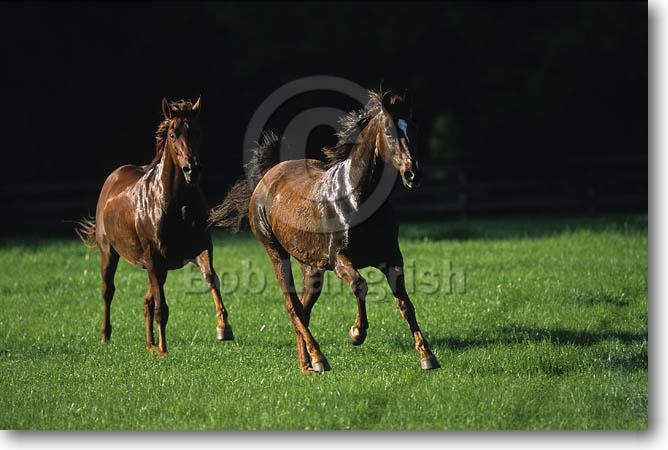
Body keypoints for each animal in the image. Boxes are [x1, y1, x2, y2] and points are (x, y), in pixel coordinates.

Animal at [77, 97, 234, 357]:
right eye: (173, 134)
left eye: (198, 131)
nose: (192, 169)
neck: (177, 204)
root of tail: (113, 177)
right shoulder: (154, 257)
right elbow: (162, 307)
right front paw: (163, 350)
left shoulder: (199, 249)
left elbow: (211, 279)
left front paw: (224, 328)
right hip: (111, 254)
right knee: (108, 291)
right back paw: (106, 337)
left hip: (160, 266)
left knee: (146, 300)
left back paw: (149, 344)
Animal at [209, 90, 439, 372]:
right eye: (389, 131)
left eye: (414, 129)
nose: (412, 173)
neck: (355, 198)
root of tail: (268, 175)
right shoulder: (339, 258)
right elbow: (359, 285)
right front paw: (356, 334)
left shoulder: (392, 258)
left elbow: (405, 303)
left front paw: (427, 357)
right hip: (276, 253)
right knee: (293, 307)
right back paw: (319, 360)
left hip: (311, 268)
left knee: (303, 308)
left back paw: (306, 364)